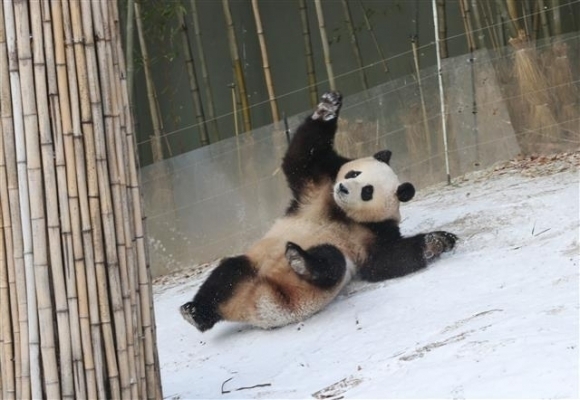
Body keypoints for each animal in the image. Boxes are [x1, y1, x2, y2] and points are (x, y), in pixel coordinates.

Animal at [181, 90, 458, 332]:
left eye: (367, 191)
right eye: (353, 173)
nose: (343, 188)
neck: (341, 212)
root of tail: (263, 307)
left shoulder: (373, 231)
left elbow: (385, 261)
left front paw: (439, 240)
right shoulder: (318, 189)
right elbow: (300, 157)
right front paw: (327, 108)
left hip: (311, 288)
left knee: (330, 261)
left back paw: (300, 261)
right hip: (250, 269)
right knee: (225, 276)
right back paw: (196, 313)